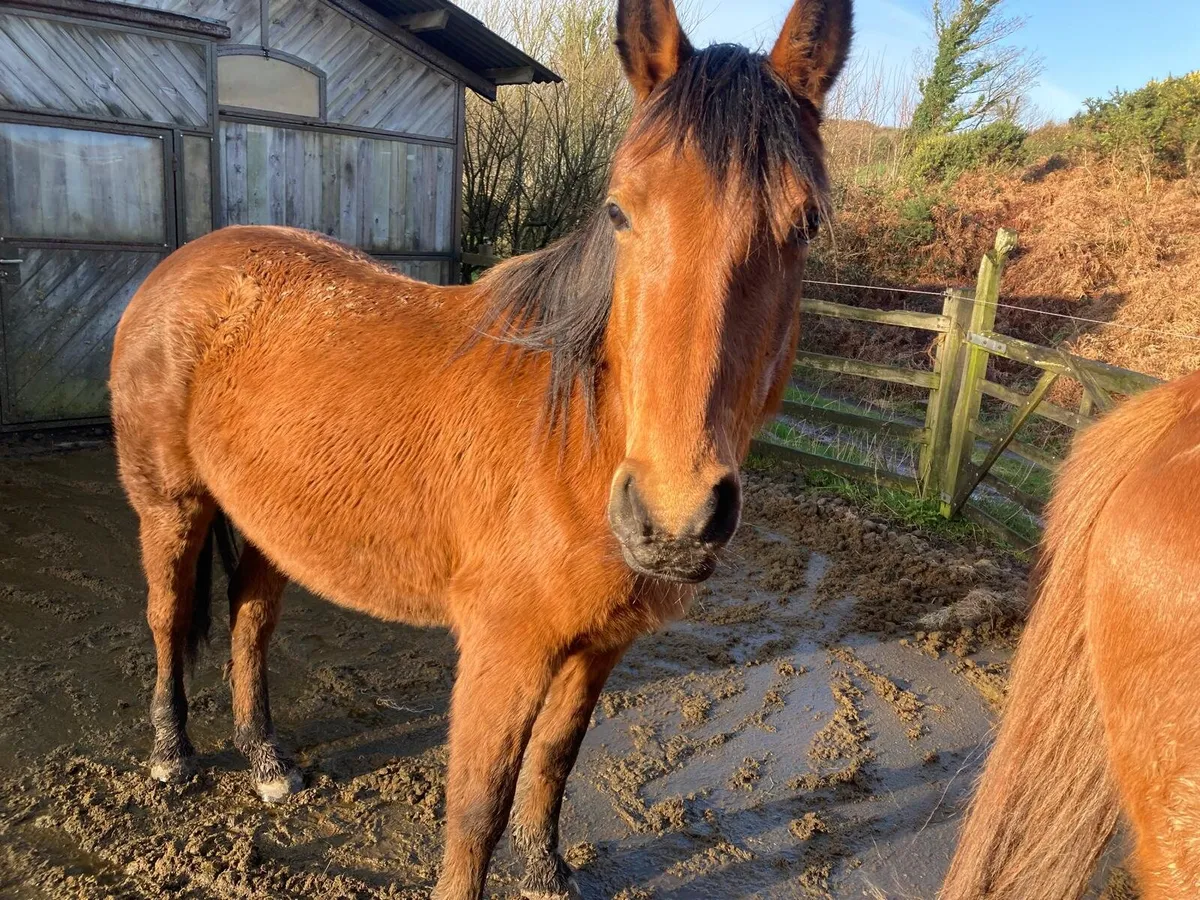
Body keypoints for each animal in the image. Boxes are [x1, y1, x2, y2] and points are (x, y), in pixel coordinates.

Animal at [109, 0, 851, 895]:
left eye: (805, 223)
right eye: (619, 211)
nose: (674, 520)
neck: (573, 441)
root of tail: (186, 265)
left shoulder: (597, 650)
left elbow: (554, 765)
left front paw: (547, 874)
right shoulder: (505, 651)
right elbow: (476, 812)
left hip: (267, 523)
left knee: (251, 623)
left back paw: (267, 765)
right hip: (171, 506)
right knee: (164, 616)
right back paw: (172, 755)